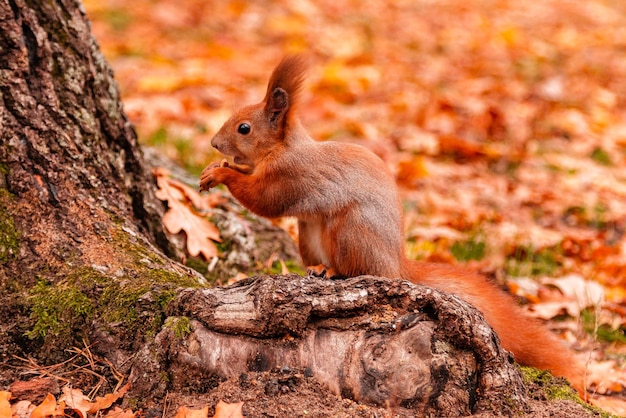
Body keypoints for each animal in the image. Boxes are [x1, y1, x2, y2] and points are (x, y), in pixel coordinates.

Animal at [201, 54, 584, 396]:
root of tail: (396, 265)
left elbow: (263, 201)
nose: (214, 144)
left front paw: (220, 174)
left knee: (357, 269)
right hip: (308, 234)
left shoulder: (290, 176)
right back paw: (315, 269)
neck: (282, 148)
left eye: (244, 128)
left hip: (350, 231)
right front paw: (217, 167)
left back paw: (331, 272)